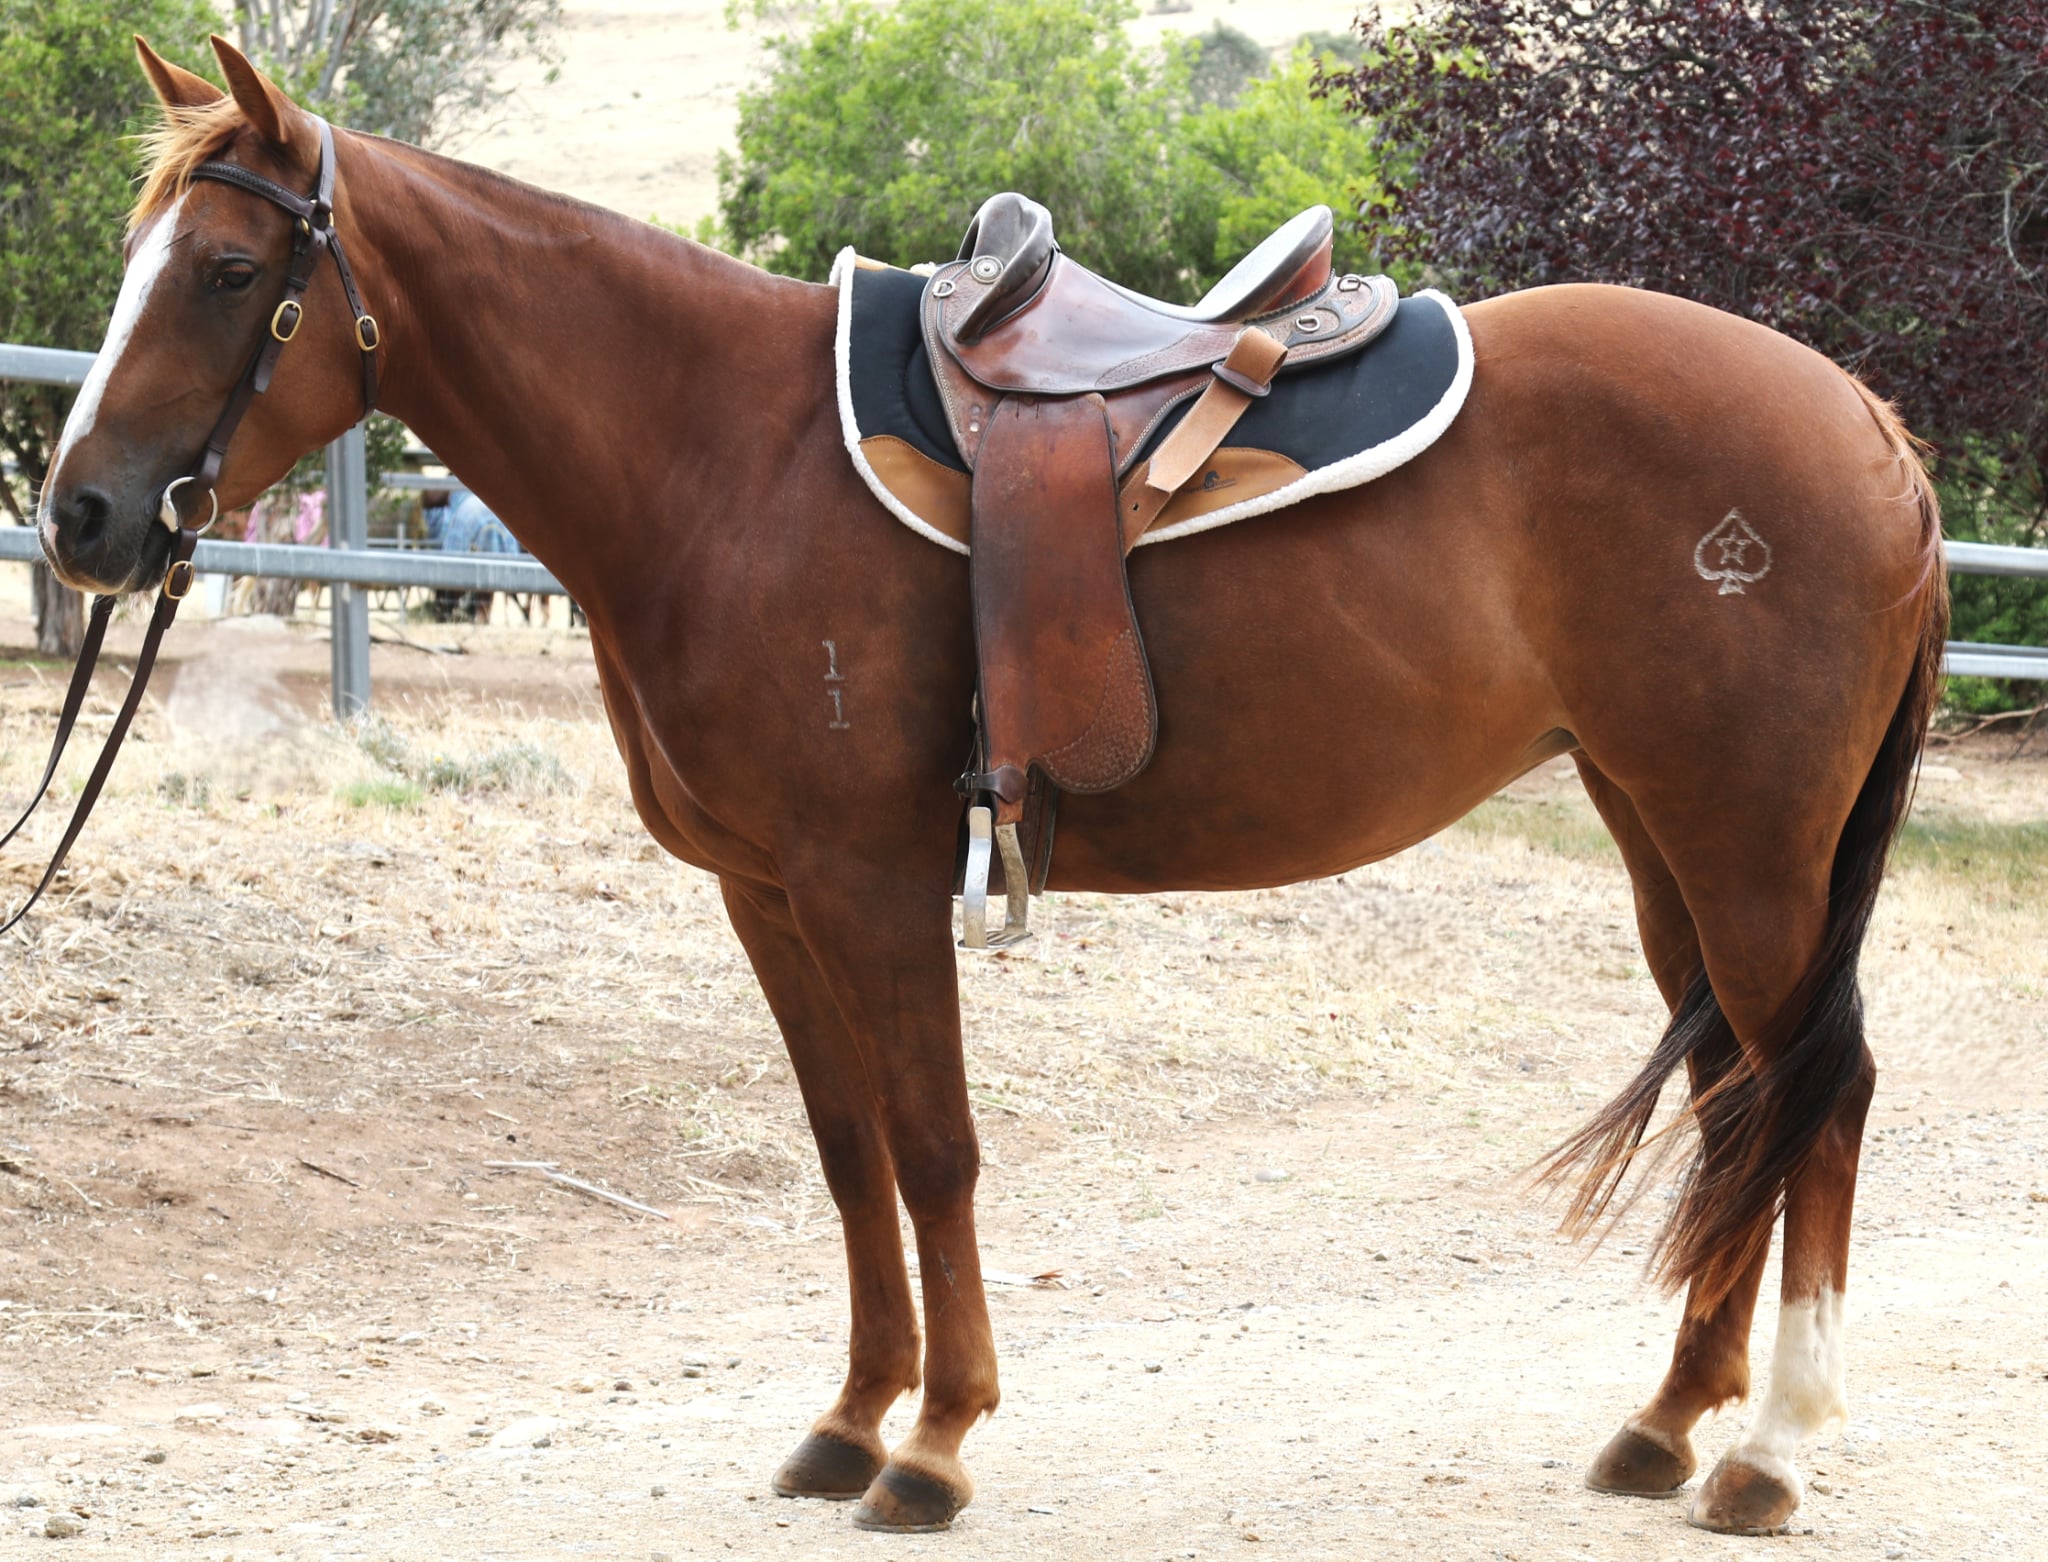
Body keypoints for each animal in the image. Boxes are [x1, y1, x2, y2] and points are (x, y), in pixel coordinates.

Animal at [33, 36, 1946, 1537]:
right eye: (138, 258)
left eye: (224, 271)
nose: (83, 517)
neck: (722, 459)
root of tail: (1868, 425)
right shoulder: (767, 891)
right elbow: (847, 1151)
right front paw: (849, 1417)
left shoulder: (872, 879)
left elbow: (937, 1147)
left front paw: (936, 1443)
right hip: (1658, 830)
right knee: (1739, 1100)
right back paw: (1665, 1421)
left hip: (1748, 845)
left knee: (1823, 1090)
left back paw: (1771, 1448)